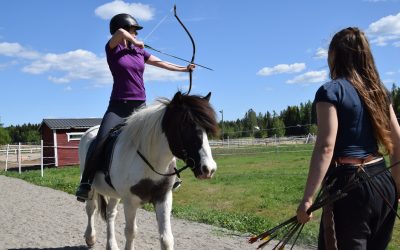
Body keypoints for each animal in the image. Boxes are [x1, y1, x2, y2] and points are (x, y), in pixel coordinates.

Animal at [78, 92, 219, 250]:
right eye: (185, 125)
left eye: (207, 130)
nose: (209, 169)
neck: (150, 161)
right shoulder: (130, 201)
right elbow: (130, 232)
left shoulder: (163, 197)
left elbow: (166, 239)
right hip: (91, 187)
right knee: (91, 208)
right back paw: (90, 237)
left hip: (114, 193)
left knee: (110, 213)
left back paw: (111, 245)